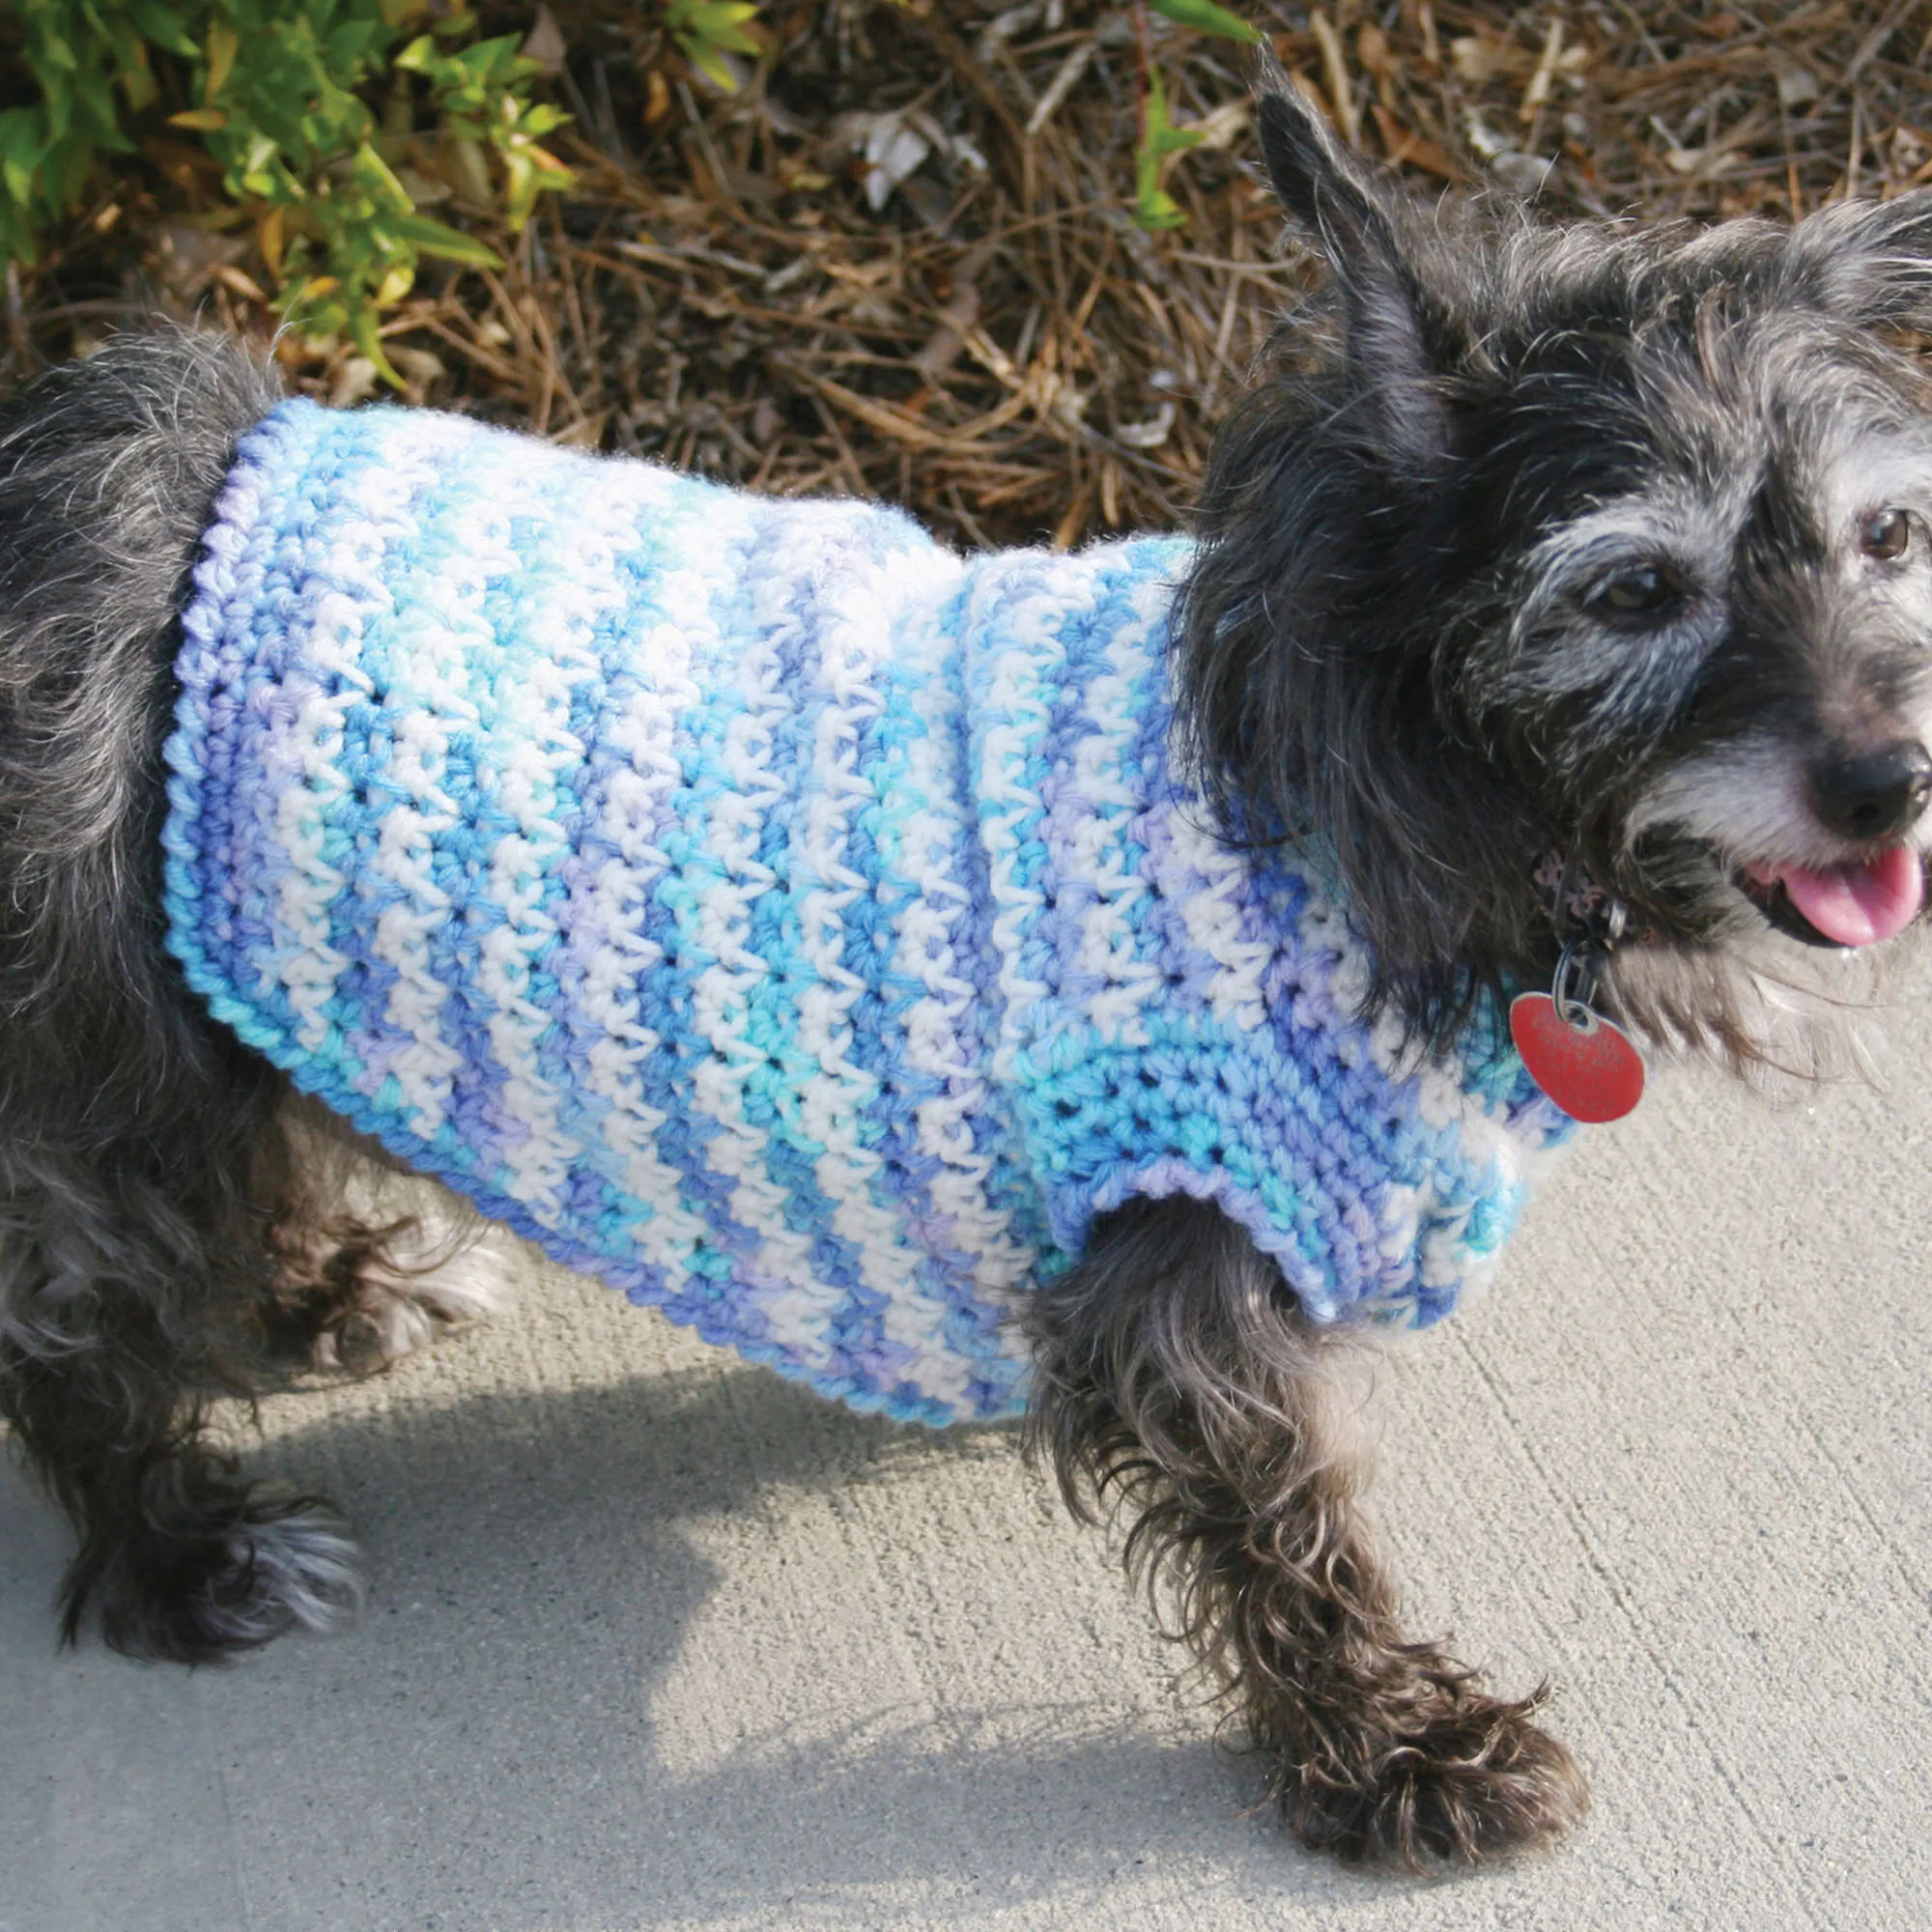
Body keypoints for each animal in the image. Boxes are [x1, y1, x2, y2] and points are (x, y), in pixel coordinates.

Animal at [3, 91, 1932, 1870]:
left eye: (1887, 538)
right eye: (1632, 588)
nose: (1891, 782)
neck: (1360, 794)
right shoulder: (1191, 1248)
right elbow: (1289, 1521)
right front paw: (1394, 1752)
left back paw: (333, 1286)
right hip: (110, 1095)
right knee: (75, 1323)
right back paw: (186, 1554)